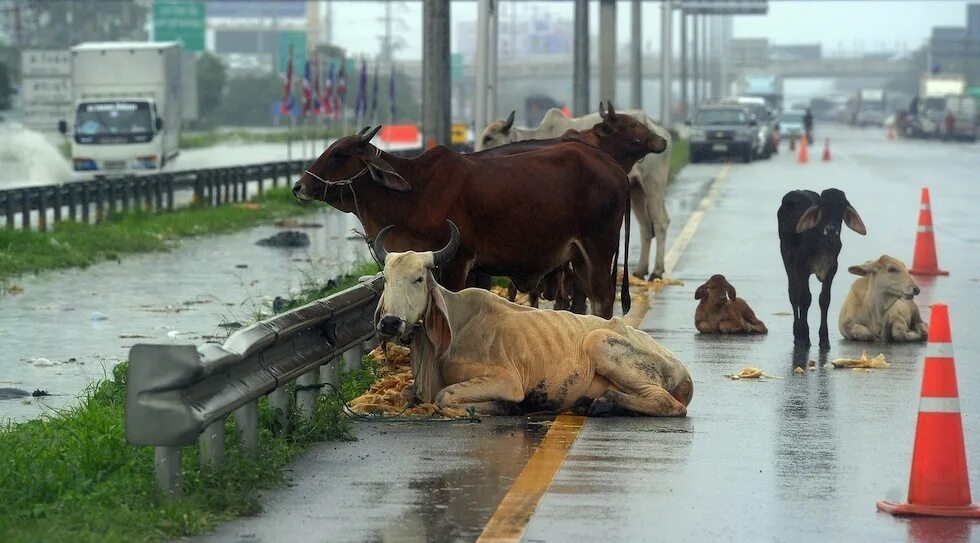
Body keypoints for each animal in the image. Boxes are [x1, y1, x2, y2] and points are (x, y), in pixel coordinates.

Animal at [294, 123, 652, 318]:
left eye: (340, 154)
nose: (299, 186)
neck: (414, 192)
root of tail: (614, 167)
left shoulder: (457, 261)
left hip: (599, 249)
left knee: (602, 301)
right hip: (577, 258)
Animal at [372, 223, 692, 418]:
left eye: (418, 278)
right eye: (385, 278)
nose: (389, 323)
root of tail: (682, 369)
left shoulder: (506, 380)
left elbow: (444, 397)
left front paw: (506, 407)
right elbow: (408, 391)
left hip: (600, 341)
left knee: (669, 403)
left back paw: (605, 402)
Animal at [476, 107, 672, 280]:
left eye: (489, 138)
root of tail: (663, 133)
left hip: (653, 185)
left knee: (660, 222)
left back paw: (656, 271)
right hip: (638, 190)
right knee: (646, 226)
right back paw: (640, 270)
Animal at [772, 189, 864, 346]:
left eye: (842, 206)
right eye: (822, 205)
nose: (831, 229)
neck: (822, 242)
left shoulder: (832, 269)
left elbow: (824, 299)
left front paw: (824, 338)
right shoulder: (801, 267)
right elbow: (804, 298)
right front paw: (803, 335)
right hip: (786, 257)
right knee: (794, 294)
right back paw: (797, 331)